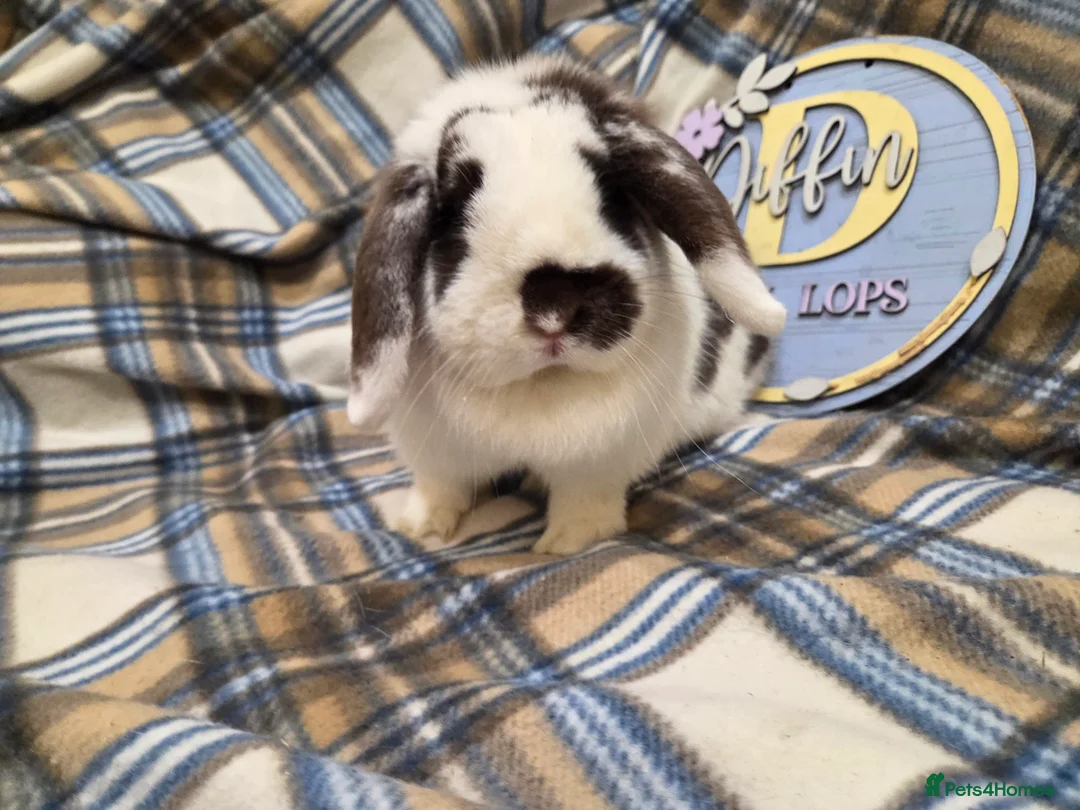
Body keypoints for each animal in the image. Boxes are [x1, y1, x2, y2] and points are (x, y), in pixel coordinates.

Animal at [347, 53, 786, 555]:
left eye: (612, 200)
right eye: (451, 217)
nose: (555, 304)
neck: (541, 384)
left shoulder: (599, 461)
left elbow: (585, 502)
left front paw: (566, 545)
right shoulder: (436, 451)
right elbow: (441, 486)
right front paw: (420, 528)